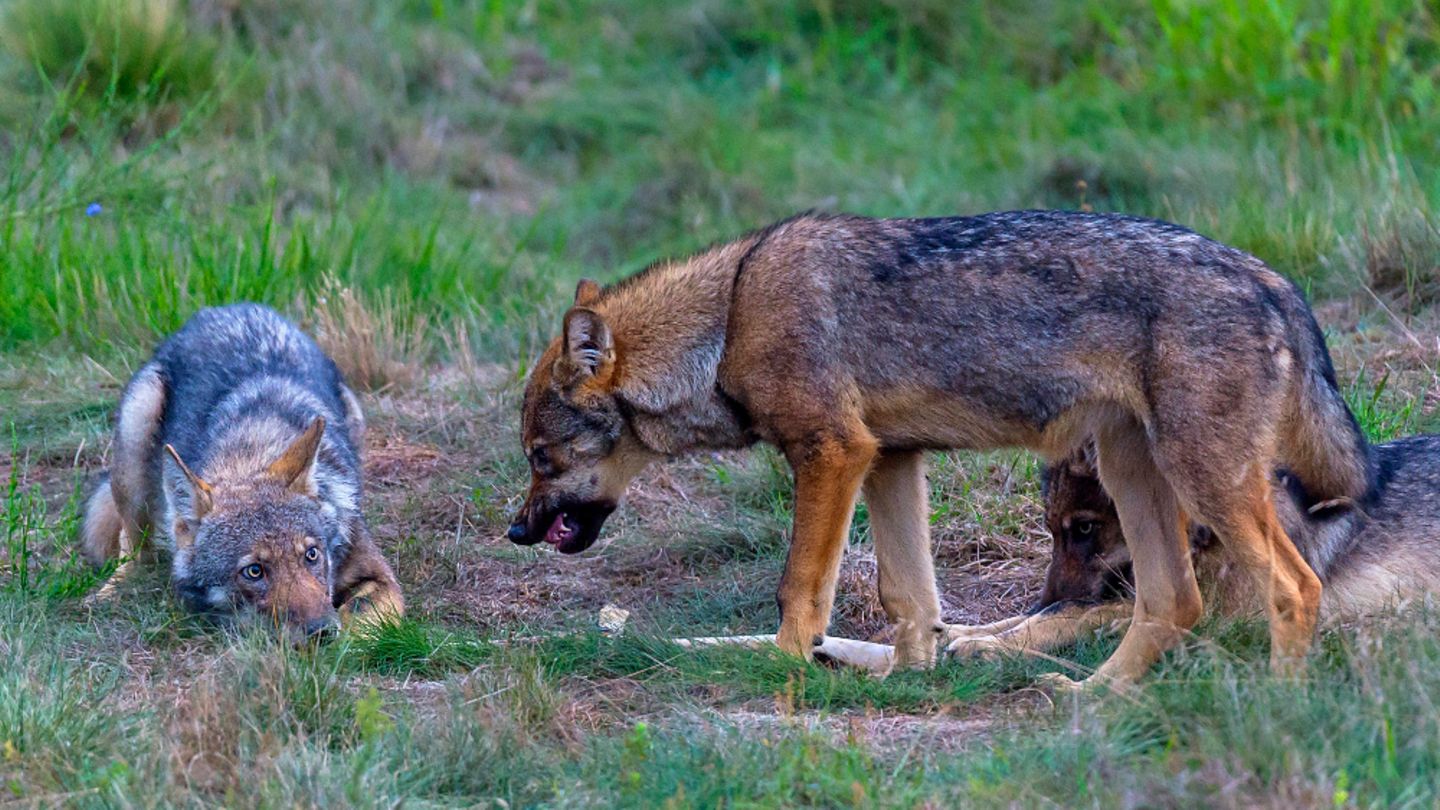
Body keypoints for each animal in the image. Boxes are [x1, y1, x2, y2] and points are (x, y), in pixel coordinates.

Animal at [82, 304, 403, 636]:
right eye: (254, 571)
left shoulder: (379, 576)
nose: (322, 630)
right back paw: (110, 592)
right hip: (136, 435)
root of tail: (226, 308)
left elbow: (356, 620)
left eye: (311, 555)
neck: (250, 453)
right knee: (133, 548)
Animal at [507, 210, 1371, 689]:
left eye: (541, 458)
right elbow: (909, 600)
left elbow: (800, 591)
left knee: (1292, 588)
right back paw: (1089, 700)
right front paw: (907, 673)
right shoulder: (891, 458)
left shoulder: (833, 453)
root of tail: (1273, 281)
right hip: (1137, 474)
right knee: (1172, 603)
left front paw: (780, 666)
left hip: (1203, 481)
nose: (515, 531)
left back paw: (1277, 705)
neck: (730, 318)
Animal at [945, 434, 1440, 658]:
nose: (1043, 596)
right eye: (1052, 531)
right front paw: (961, 633)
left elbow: (1073, 615)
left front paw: (984, 646)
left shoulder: (1212, 615)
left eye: (1084, 529)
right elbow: (1050, 614)